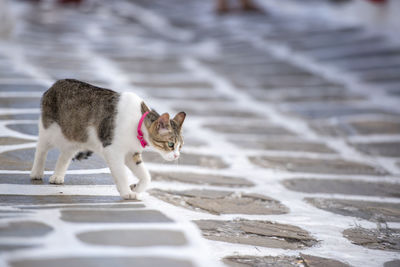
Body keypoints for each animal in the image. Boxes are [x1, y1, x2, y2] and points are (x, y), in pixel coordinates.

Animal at [30, 78, 187, 200]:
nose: (176, 155)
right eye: (171, 144)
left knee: (65, 154)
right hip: (50, 130)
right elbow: (121, 173)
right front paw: (127, 192)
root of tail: (55, 84)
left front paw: (136, 187)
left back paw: (57, 176)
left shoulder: (131, 154)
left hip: (75, 136)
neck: (137, 123)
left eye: (180, 146)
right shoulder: (113, 150)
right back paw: (36, 172)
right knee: (41, 148)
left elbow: (146, 176)